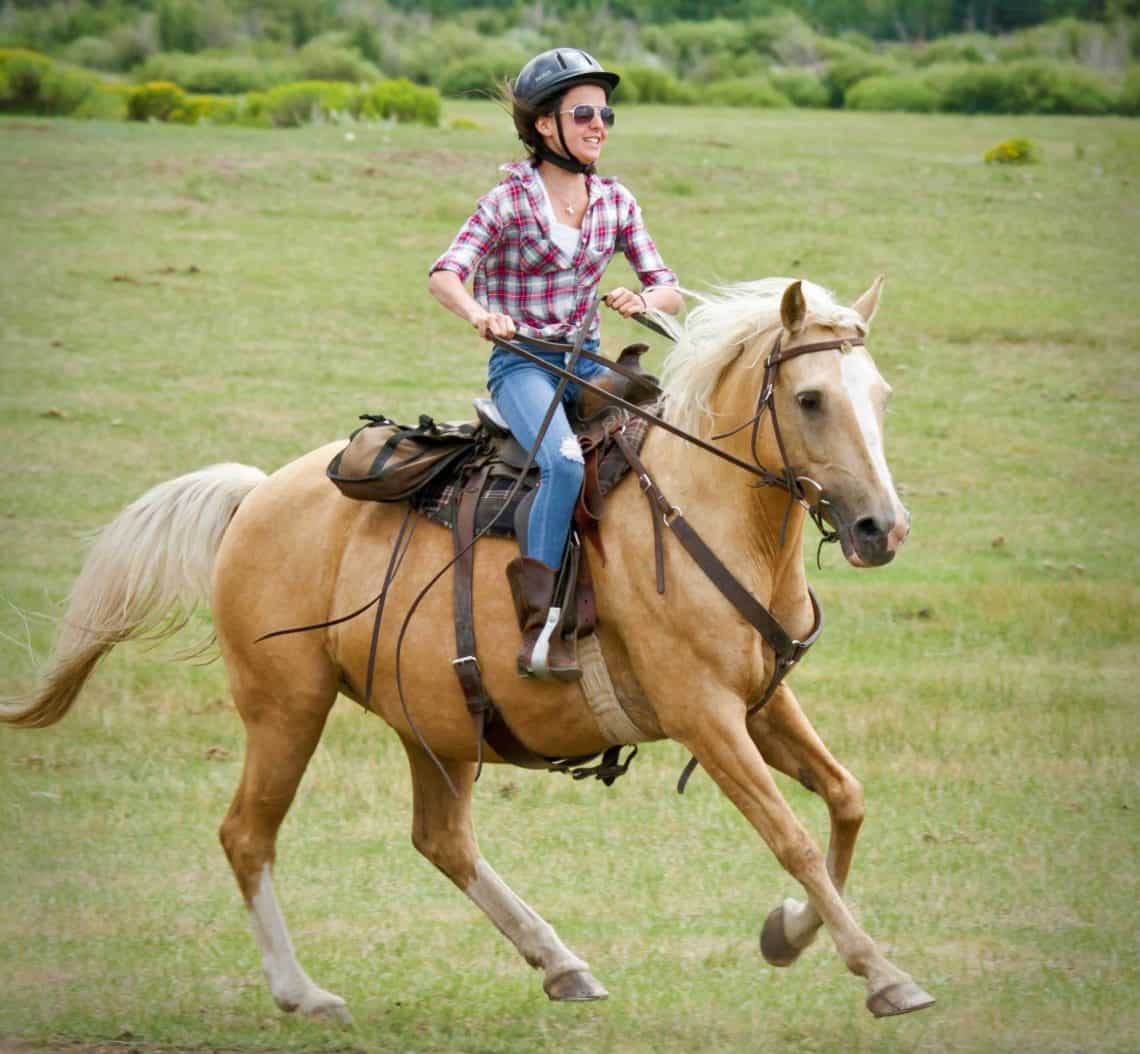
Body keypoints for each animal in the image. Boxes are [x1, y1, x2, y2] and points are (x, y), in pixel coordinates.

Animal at [4, 278, 934, 1020]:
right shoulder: (703, 715)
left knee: (440, 840)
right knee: (247, 834)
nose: (880, 529)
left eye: (883, 395)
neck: (699, 511)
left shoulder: (763, 703)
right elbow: (793, 837)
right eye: (810, 398)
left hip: (436, 722)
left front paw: (788, 932)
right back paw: (304, 993)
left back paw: (561, 964)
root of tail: (255, 496)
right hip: (286, 708)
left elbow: (846, 800)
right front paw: (883, 974)